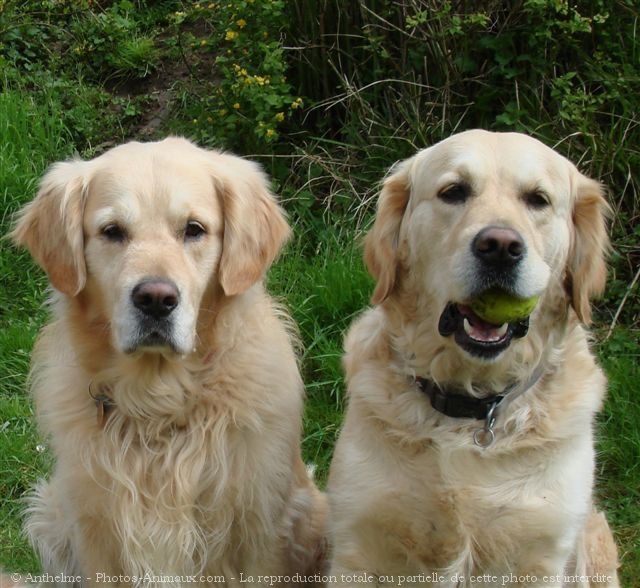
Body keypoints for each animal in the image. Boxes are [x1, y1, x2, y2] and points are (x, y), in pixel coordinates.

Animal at [10, 137, 328, 584]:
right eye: (112, 232)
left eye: (194, 229)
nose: (156, 299)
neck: (159, 407)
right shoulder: (95, 532)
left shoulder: (259, 530)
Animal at [328, 131, 616, 584]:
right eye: (454, 192)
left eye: (538, 199)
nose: (499, 247)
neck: (472, 407)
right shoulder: (358, 543)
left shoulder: (542, 554)